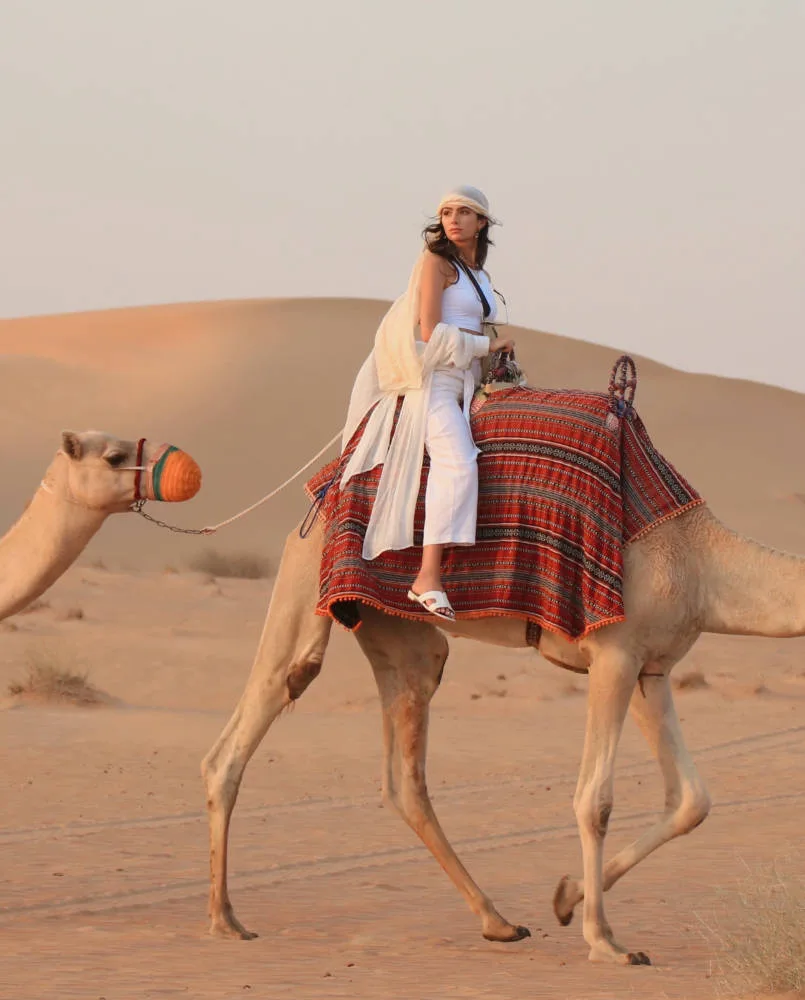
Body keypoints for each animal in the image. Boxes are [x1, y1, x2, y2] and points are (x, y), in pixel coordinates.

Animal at [201, 474, 805, 966]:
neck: (702, 563)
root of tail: (317, 501)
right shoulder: (614, 654)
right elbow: (595, 801)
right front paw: (605, 941)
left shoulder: (649, 669)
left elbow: (691, 801)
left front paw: (566, 897)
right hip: (305, 590)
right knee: (245, 729)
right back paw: (225, 920)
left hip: (399, 633)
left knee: (403, 775)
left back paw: (499, 922)